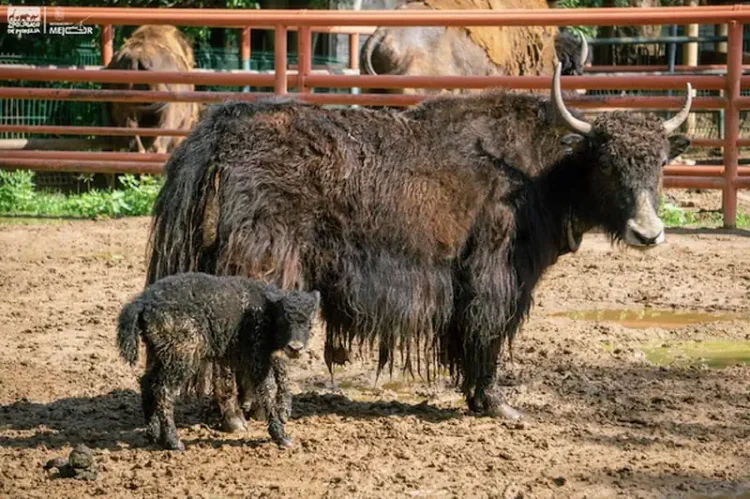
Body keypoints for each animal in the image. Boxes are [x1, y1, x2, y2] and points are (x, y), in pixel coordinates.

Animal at [145, 64, 691, 427]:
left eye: (660, 162)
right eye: (607, 164)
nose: (649, 233)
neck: (543, 171)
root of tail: (219, 131)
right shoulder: (495, 276)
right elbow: (487, 334)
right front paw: (498, 405)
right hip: (260, 262)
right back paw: (238, 415)